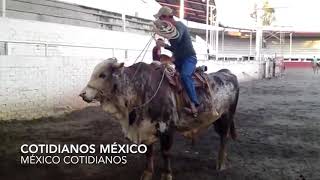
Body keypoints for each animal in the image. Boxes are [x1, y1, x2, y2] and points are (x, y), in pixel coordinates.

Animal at [80, 58, 240, 180]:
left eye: (102, 75)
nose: (83, 94)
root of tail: (227, 73)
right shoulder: (146, 127)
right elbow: (149, 151)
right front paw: (147, 173)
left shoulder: (167, 128)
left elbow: (165, 152)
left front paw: (167, 174)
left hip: (227, 117)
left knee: (224, 138)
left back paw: (221, 163)